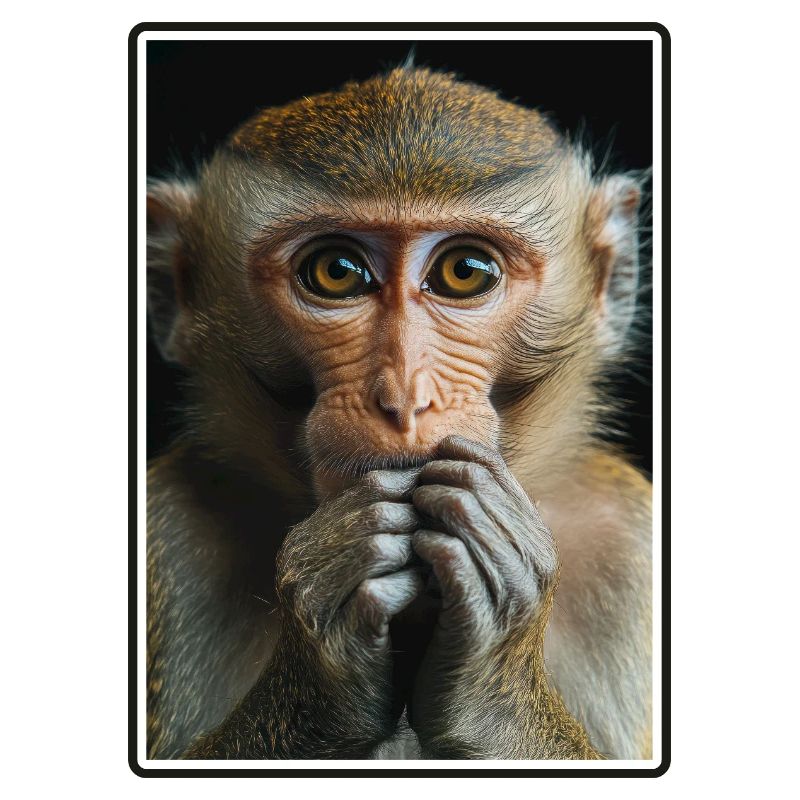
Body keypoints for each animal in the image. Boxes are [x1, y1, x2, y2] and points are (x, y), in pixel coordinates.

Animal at [146, 66, 652, 761]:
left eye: (465, 271)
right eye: (336, 271)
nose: (404, 396)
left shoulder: (631, 543)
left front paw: (494, 685)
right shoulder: (168, 527)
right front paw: (325, 656)